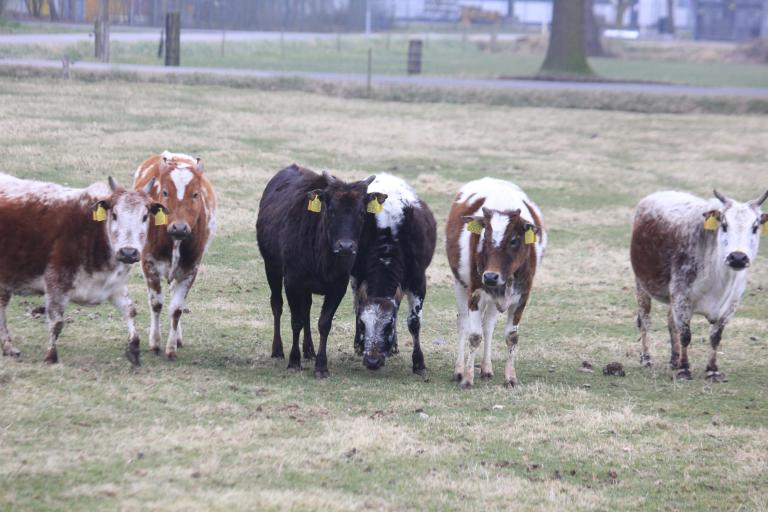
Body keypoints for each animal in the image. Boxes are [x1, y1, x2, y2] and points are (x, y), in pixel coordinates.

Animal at [0, 173, 166, 364]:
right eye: (114, 214)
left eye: (145, 216)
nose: (128, 252)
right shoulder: (56, 281)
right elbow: (56, 321)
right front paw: (51, 356)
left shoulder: (115, 285)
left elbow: (130, 310)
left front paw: (134, 348)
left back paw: (8, 347)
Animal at [134, 151, 218, 360]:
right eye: (164, 192)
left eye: (195, 194)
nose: (179, 228)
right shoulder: (148, 263)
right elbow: (156, 304)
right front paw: (155, 343)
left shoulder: (190, 268)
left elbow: (177, 308)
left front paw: (171, 347)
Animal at [256, 166, 380, 378]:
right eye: (331, 210)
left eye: (362, 213)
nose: (346, 246)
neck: (322, 257)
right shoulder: (293, 282)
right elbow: (296, 320)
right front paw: (294, 361)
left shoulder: (338, 286)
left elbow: (323, 323)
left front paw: (321, 366)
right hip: (271, 268)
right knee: (277, 305)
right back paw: (278, 350)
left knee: (306, 310)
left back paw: (309, 350)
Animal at [352, 174, 436, 374]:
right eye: (363, 324)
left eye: (389, 325)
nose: (372, 361)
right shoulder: (357, 276)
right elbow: (358, 308)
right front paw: (359, 344)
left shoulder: (418, 281)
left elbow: (414, 322)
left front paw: (418, 362)